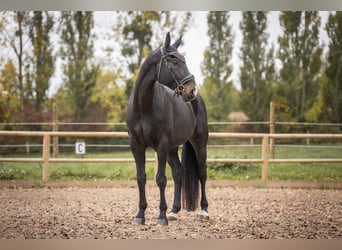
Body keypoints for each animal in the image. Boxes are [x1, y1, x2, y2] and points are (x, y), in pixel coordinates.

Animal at [125, 32, 208, 226]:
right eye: (174, 61)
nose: (191, 90)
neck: (143, 105)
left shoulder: (161, 145)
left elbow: (161, 179)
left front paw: (161, 216)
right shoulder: (136, 145)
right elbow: (141, 178)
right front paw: (140, 215)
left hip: (199, 143)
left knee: (202, 173)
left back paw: (204, 211)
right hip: (172, 148)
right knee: (178, 173)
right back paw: (174, 211)